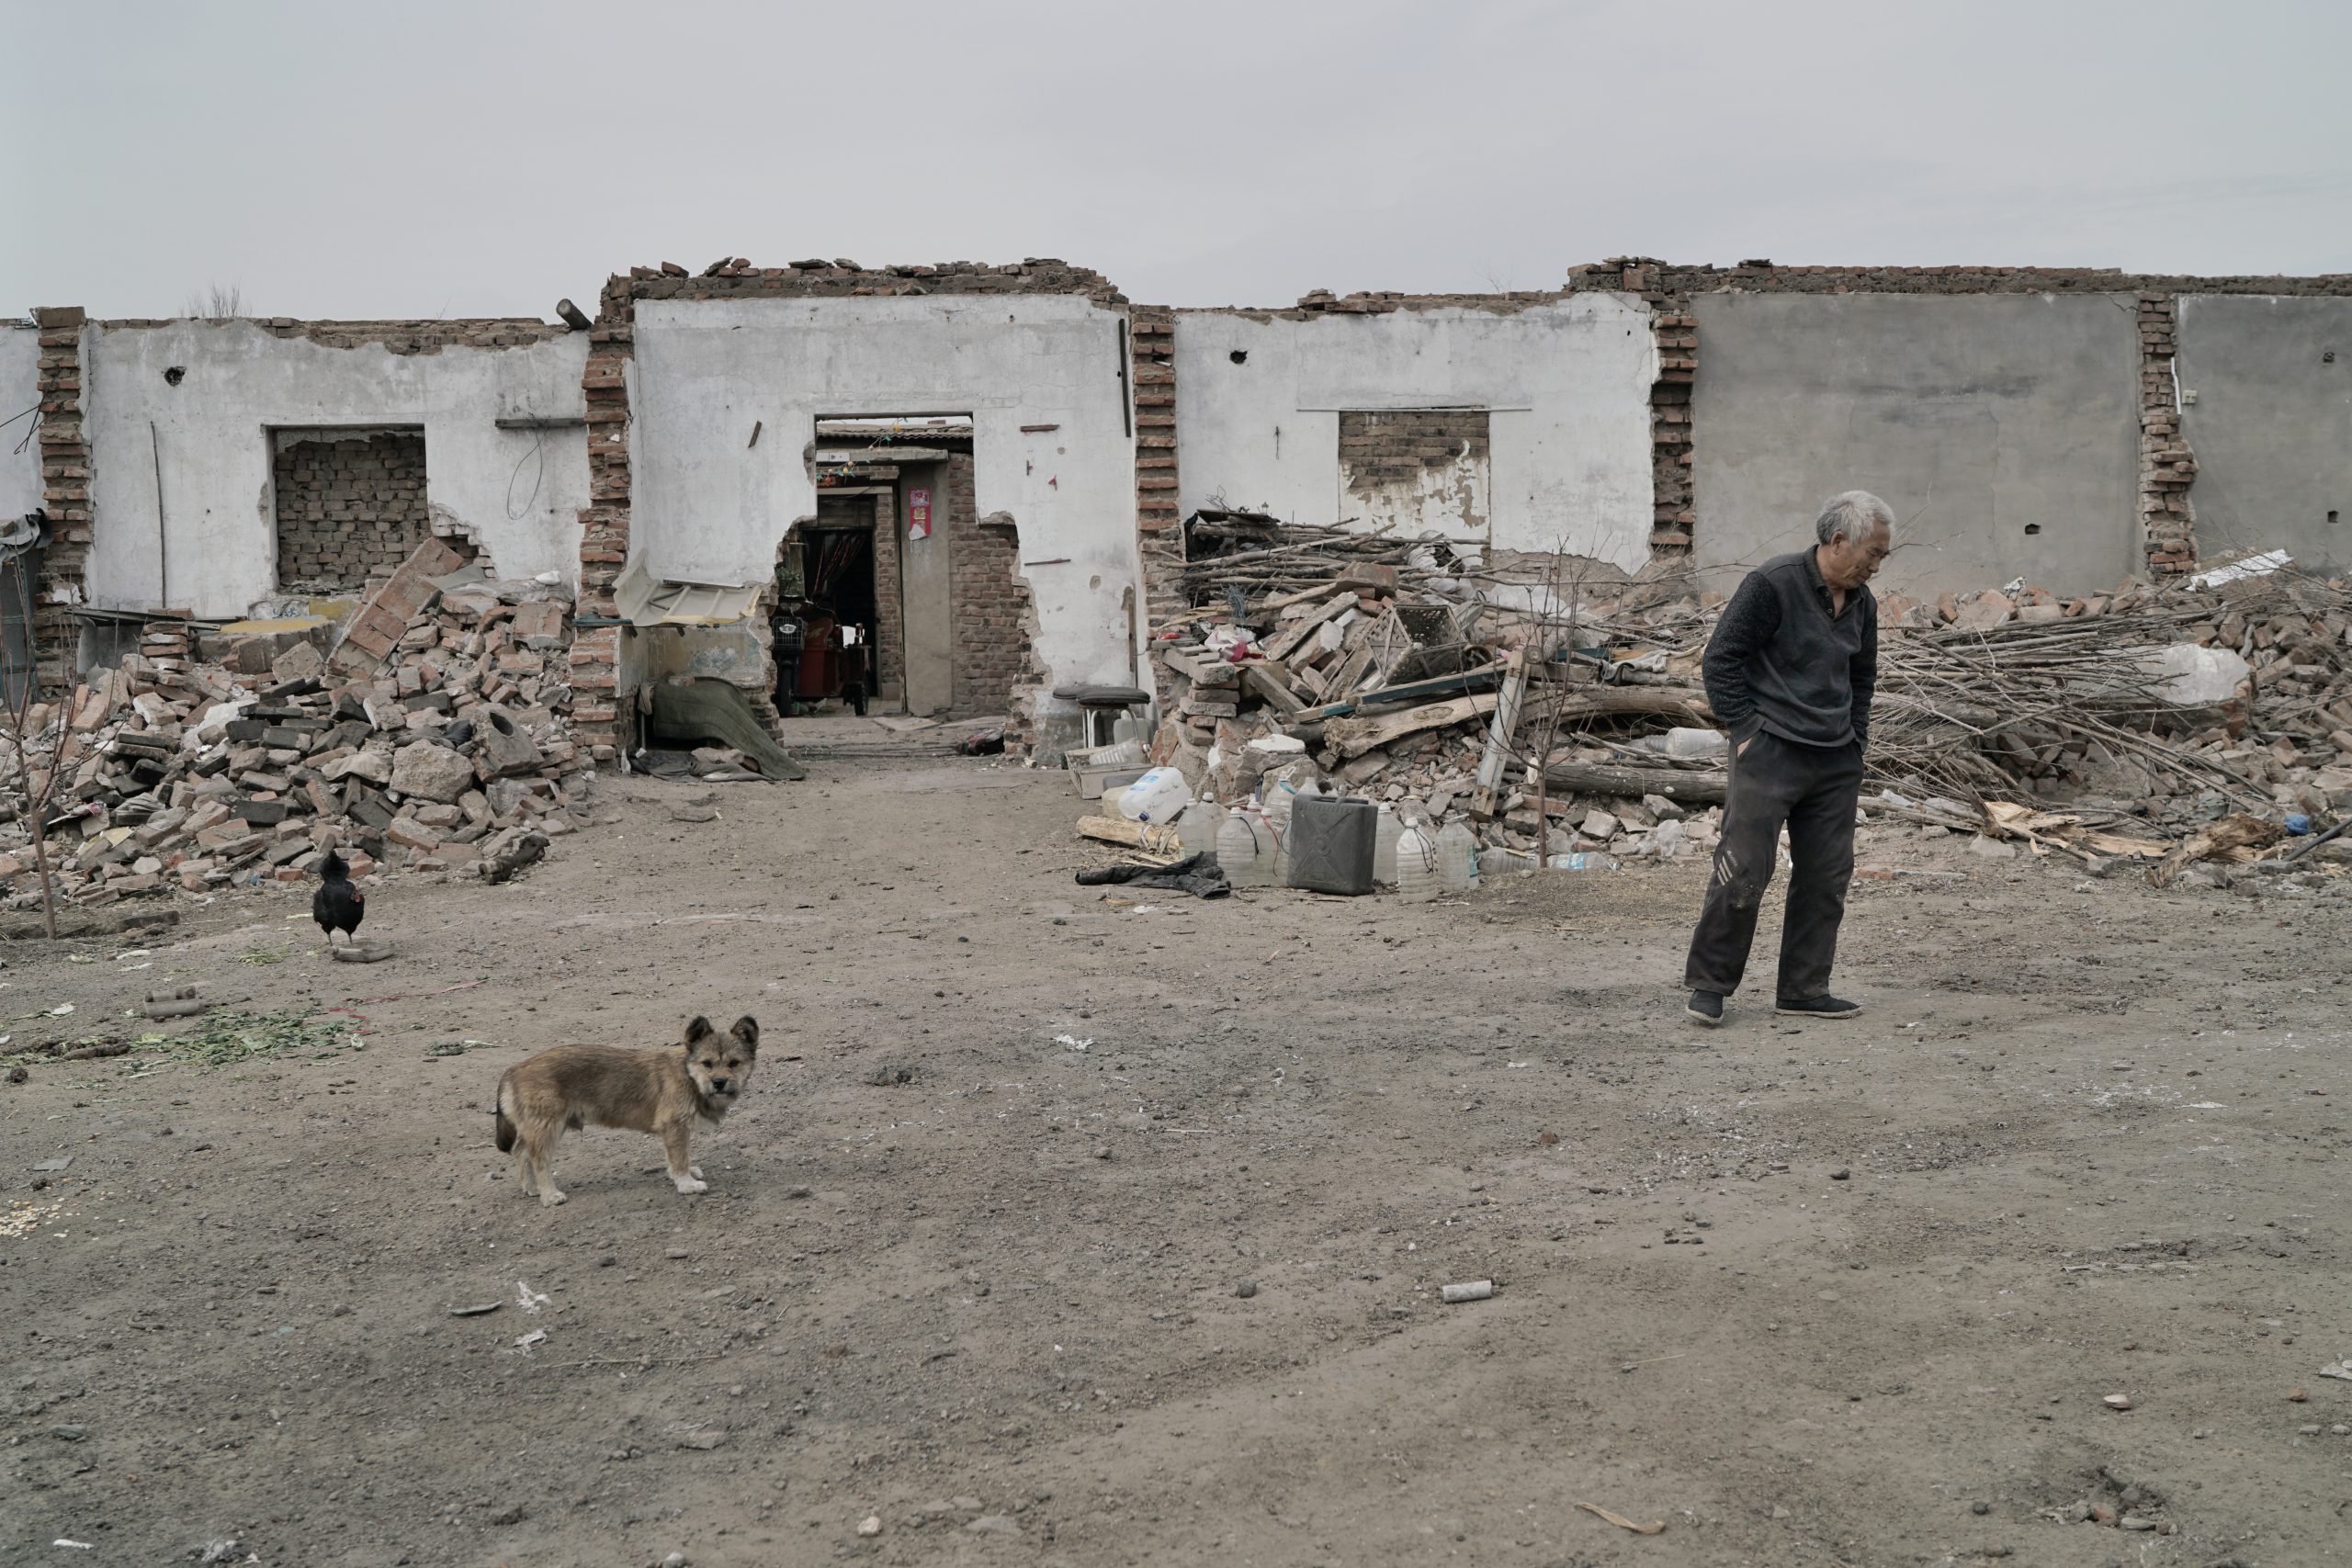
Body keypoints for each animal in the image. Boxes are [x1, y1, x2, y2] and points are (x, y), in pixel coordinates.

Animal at [496, 1010, 762, 1213]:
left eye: (734, 1063)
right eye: (707, 1063)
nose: (719, 1083)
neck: (689, 1075)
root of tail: (514, 1069)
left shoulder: (679, 1129)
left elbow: (683, 1154)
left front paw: (688, 1173)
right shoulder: (673, 1126)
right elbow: (679, 1158)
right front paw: (686, 1183)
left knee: (521, 1152)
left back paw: (531, 1188)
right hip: (548, 1126)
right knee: (538, 1160)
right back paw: (549, 1194)